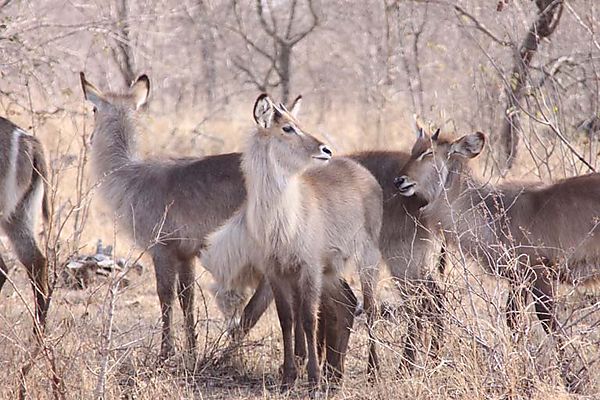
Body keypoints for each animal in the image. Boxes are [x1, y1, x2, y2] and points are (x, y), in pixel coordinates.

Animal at [200, 94, 380, 388]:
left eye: (299, 122)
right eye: (287, 127)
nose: (325, 149)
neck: (282, 218)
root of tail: (361, 171)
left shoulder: (308, 269)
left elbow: (307, 319)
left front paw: (313, 379)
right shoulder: (276, 271)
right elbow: (287, 319)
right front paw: (289, 377)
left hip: (367, 259)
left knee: (371, 308)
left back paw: (372, 372)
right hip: (331, 270)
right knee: (346, 304)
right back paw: (336, 374)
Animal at [394, 130, 600, 380]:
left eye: (429, 152)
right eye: (413, 149)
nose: (399, 180)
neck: (495, 213)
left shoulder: (540, 272)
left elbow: (549, 322)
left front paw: (571, 376)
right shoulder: (518, 279)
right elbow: (513, 320)